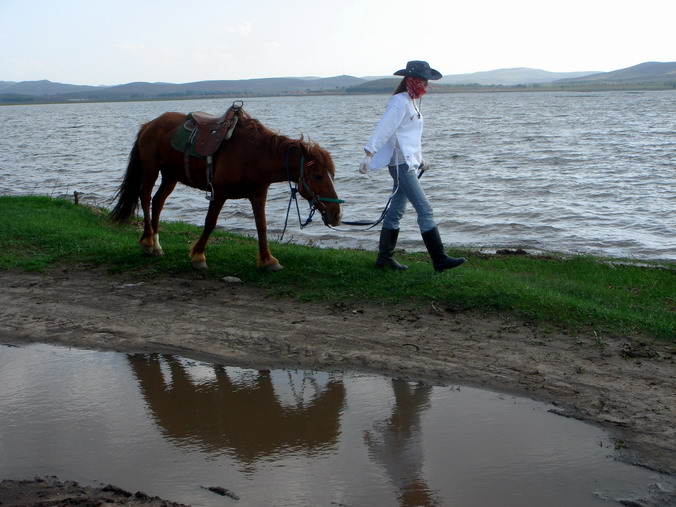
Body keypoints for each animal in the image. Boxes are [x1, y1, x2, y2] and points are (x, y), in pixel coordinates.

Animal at [113, 109, 344, 272]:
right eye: (318, 176)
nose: (336, 214)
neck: (254, 154)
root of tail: (150, 124)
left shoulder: (258, 195)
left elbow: (262, 226)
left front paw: (268, 260)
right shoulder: (219, 193)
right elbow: (210, 223)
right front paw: (198, 256)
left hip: (171, 176)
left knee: (158, 201)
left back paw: (157, 245)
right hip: (151, 169)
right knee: (145, 198)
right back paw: (147, 243)